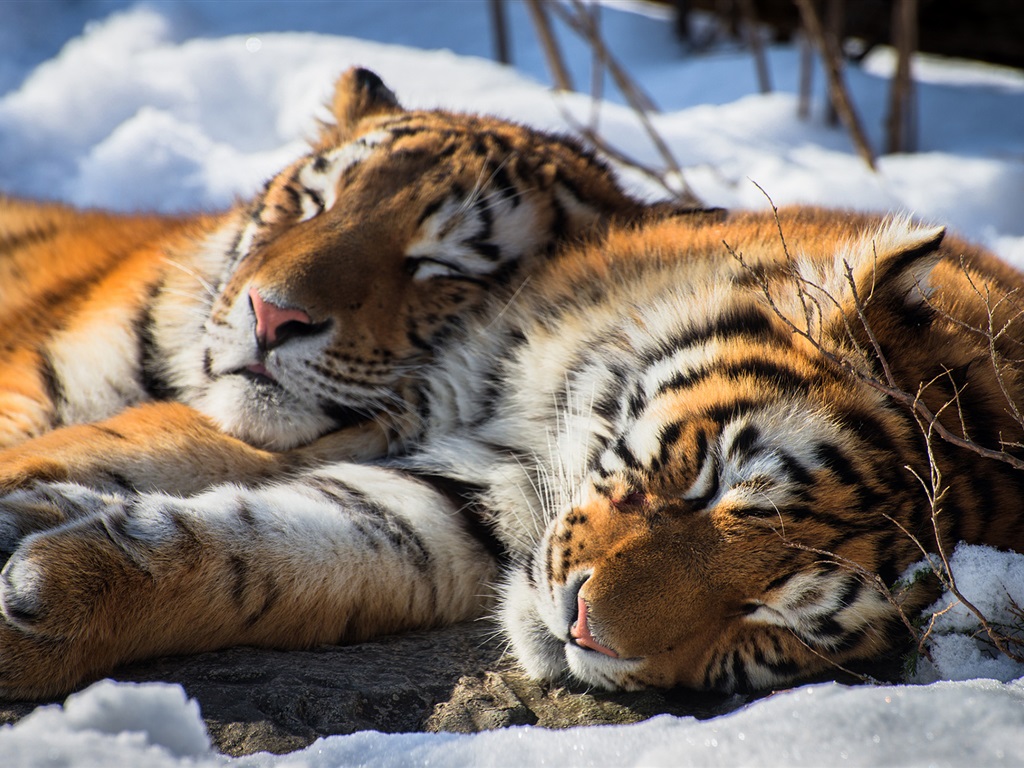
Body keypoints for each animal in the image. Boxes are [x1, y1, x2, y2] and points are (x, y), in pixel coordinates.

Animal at [2, 79, 1024, 702]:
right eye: (707, 483)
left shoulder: (439, 513)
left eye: (774, 626)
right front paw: (33, 513)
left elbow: (258, 557)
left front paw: (44, 595)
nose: (584, 630)